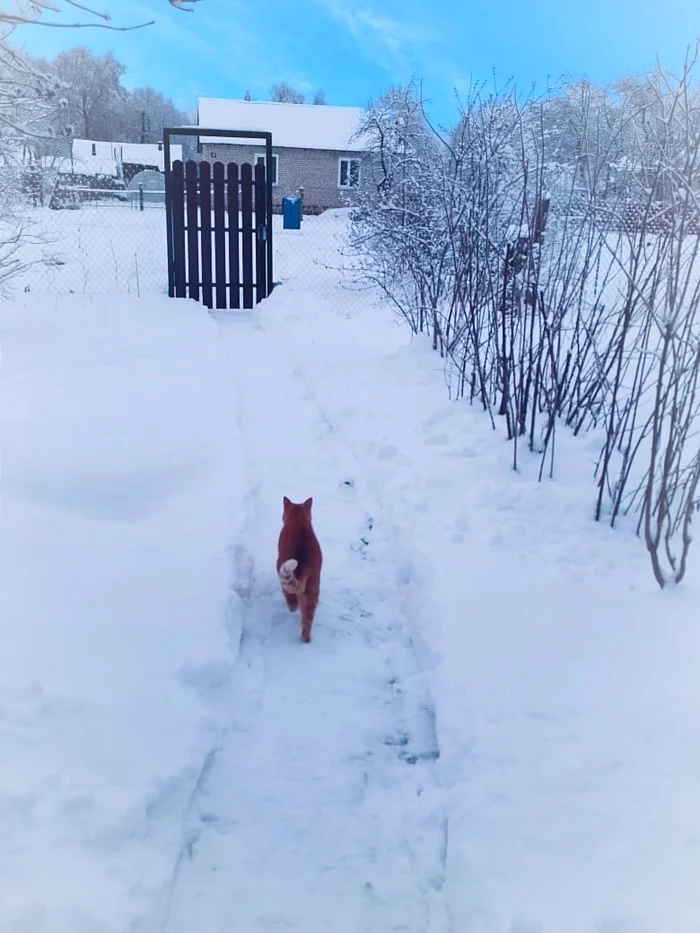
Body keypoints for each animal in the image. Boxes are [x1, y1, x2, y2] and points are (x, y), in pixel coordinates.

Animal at [278, 496, 324, 640]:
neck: (299, 520)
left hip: (282, 572)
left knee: (290, 597)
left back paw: (292, 608)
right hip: (313, 590)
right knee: (307, 620)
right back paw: (306, 639)